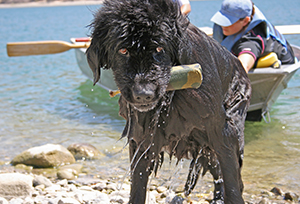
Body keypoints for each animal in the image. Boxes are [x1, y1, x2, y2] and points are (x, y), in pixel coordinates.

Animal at [86, 0, 251, 202]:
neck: (169, 97)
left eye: (159, 48)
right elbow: (138, 183)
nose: (144, 93)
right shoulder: (141, 136)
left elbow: (232, 181)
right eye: (123, 50)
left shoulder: (220, 129)